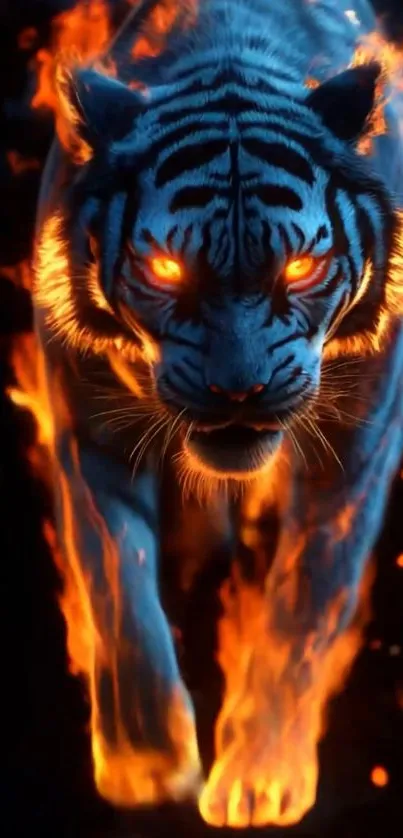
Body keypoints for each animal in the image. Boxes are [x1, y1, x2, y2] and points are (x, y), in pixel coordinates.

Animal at [33, 0, 403, 828]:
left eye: (299, 266)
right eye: (167, 267)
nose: (240, 392)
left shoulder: (354, 453)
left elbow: (304, 601)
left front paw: (261, 776)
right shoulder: (91, 436)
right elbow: (120, 590)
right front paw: (144, 761)